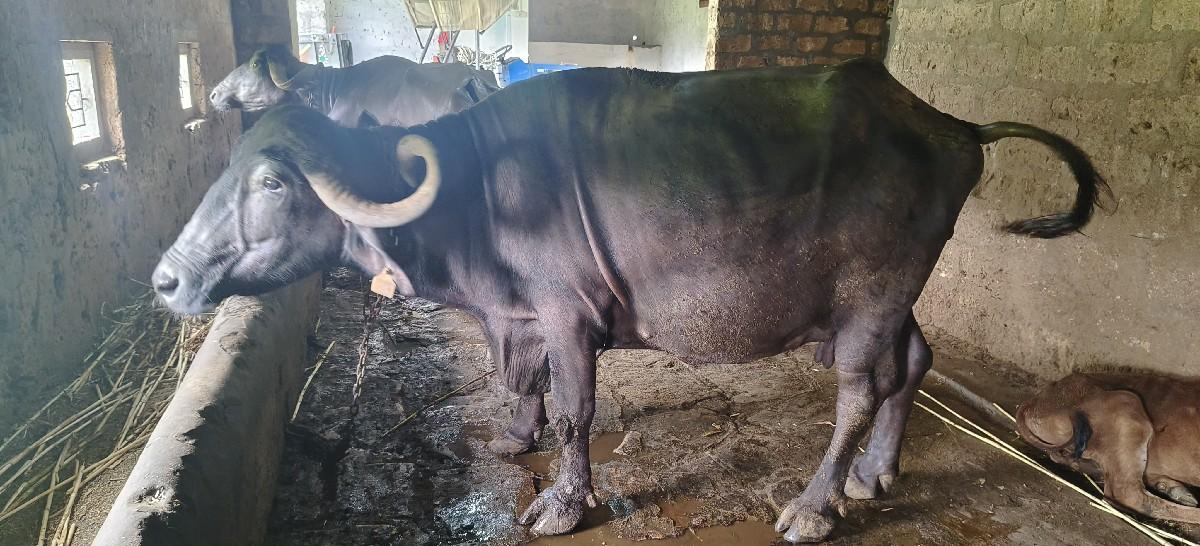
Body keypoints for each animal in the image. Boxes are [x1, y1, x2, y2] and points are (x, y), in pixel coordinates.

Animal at [153, 59, 1110, 542]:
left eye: (275, 182)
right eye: (231, 168)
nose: (166, 278)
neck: (475, 192)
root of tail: (948, 125)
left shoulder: (569, 316)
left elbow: (575, 410)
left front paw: (562, 504)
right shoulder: (520, 317)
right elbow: (521, 384)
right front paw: (515, 437)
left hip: (873, 293)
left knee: (859, 388)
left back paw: (815, 505)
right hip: (897, 297)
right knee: (914, 362)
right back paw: (876, 472)